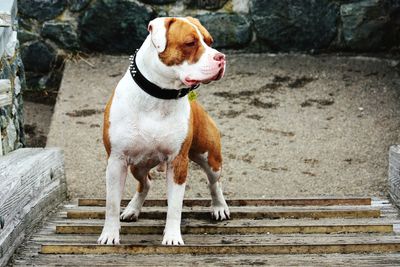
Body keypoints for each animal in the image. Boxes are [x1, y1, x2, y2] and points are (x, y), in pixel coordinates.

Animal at [98, 17, 230, 247]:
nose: (221, 57)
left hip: (210, 157)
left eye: (210, 41)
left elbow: (175, 207)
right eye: (190, 43)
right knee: (146, 183)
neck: (159, 96)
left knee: (215, 182)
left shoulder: (178, 162)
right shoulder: (116, 161)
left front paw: (172, 237)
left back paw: (219, 206)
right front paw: (109, 234)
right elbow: (112, 204)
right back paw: (132, 209)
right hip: (137, 166)